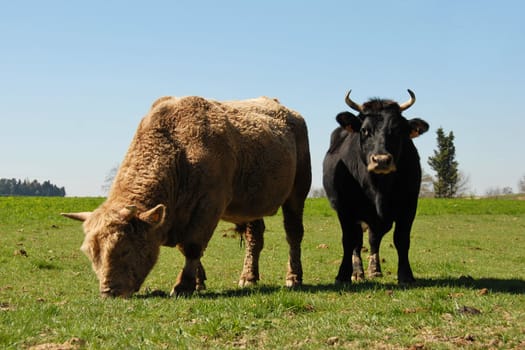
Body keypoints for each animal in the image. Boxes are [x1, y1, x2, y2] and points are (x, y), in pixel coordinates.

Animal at [60, 95, 312, 298]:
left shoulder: (209, 206)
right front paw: (198, 282)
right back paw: (248, 277)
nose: (108, 292)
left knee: (294, 234)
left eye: (125, 248)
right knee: (255, 238)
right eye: (90, 253)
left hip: (298, 192)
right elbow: (188, 248)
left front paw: (184, 285)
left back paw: (293, 277)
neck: (179, 149)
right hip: (250, 204)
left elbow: (192, 246)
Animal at [322, 89, 428, 284]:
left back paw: (375, 270)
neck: (379, 188)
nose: (381, 160)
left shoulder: (409, 206)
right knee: (357, 241)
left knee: (373, 239)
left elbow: (401, 239)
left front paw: (405, 275)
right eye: (365, 130)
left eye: (397, 130)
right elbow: (349, 240)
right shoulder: (345, 209)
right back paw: (358, 272)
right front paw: (343, 274)